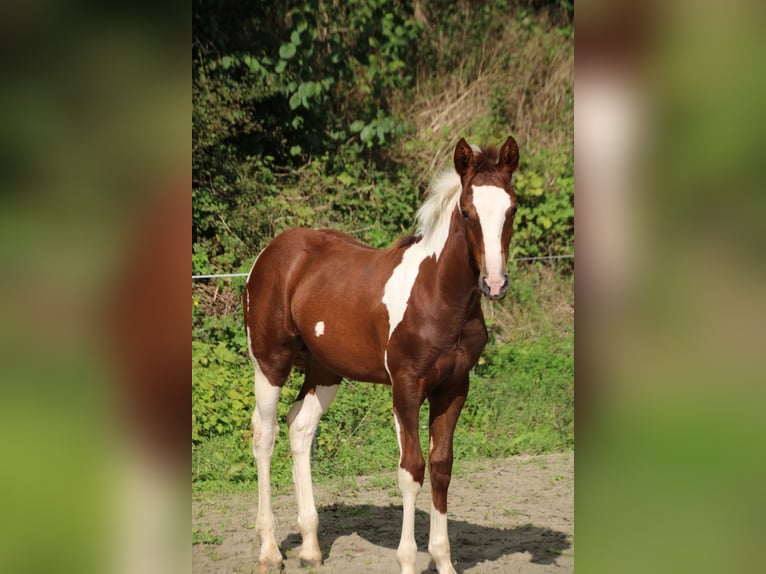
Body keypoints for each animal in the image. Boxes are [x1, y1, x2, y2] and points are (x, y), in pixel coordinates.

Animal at [244, 137, 520, 572]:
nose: (494, 283)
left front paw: (443, 560)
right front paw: (408, 560)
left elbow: (441, 466)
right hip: (270, 363)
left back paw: (311, 547)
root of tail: (271, 251)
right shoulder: (405, 388)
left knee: (300, 427)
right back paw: (270, 550)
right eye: (467, 211)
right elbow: (411, 469)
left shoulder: (454, 388)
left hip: (325, 371)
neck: (439, 296)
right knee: (264, 433)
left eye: (512, 208)